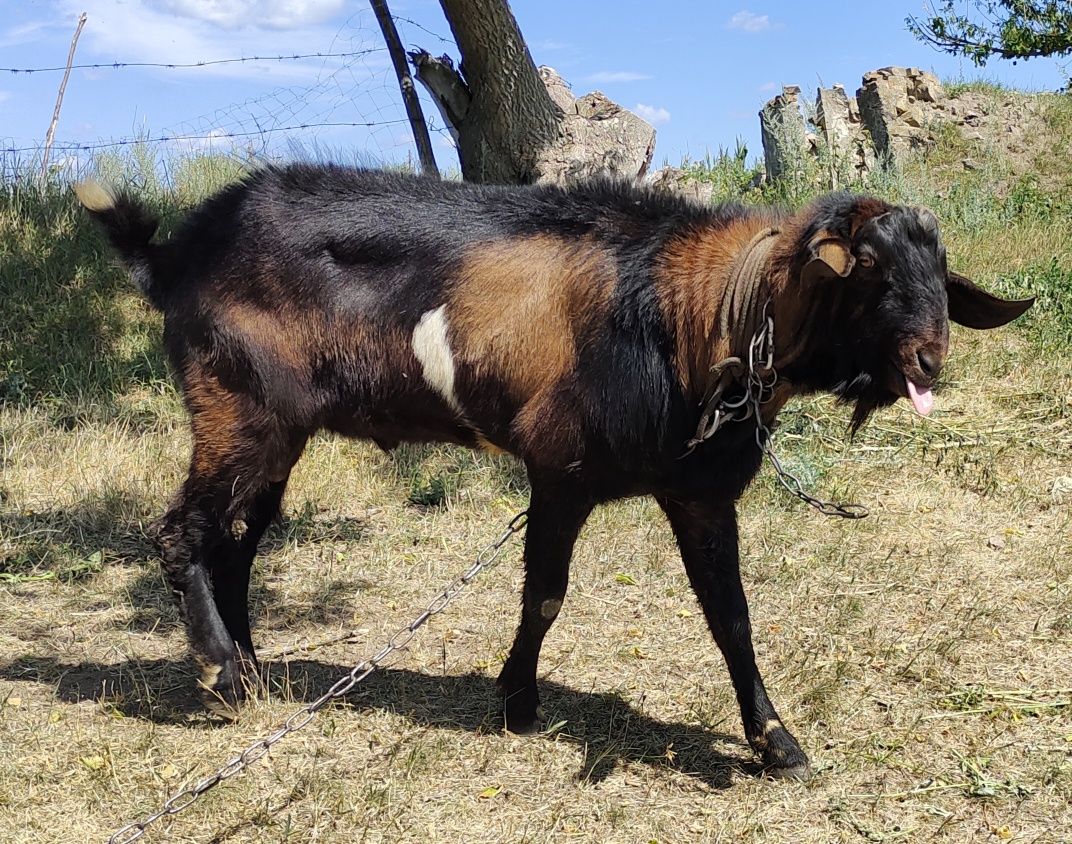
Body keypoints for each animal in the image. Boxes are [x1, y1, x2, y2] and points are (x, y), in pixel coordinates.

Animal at [75, 165, 1029, 780]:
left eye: (940, 270)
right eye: (867, 266)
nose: (931, 359)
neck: (695, 318)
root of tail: (176, 253)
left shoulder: (697, 492)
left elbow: (730, 618)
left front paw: (776, 742)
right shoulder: (558, 469)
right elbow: (544, 593)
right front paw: (518, 702)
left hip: (278, 430)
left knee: (237, 542)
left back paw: (251, 669)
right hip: (237, 408)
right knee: (184, 532)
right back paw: (219, 677)